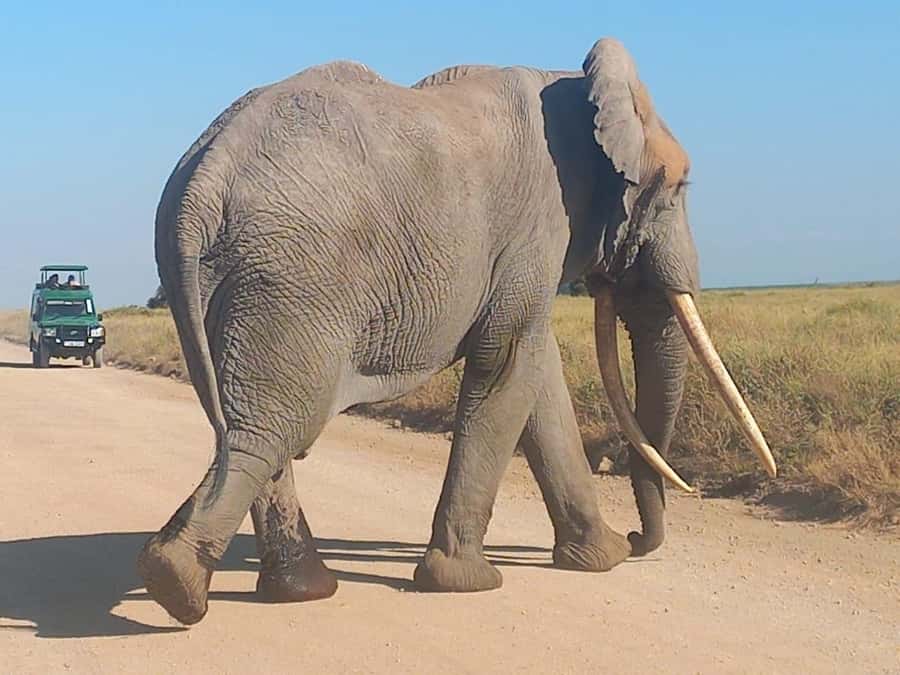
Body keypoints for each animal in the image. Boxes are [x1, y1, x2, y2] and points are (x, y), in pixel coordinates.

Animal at [141, 37, 776, 625]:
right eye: (679, 189)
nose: (641, 540)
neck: (574, 83)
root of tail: (202, 178)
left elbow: (537, 377)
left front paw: (603, 558)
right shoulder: (539, 219)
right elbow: (509, 366)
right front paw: (468, 583)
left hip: (226, 279)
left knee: (251, 422)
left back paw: (292, 589)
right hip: (293, 276)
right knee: (275, 426)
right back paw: (178, 584)